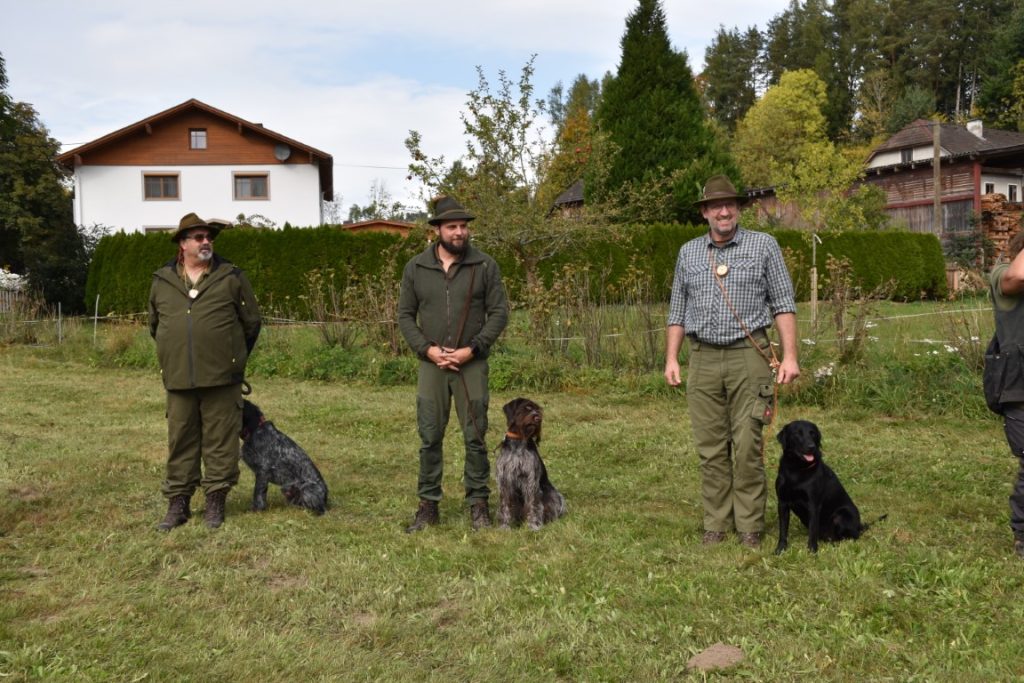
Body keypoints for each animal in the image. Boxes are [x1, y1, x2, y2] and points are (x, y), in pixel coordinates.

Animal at [495, 397, 569, 532]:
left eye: (538, 410)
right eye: (527, 408)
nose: (538, 418)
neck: (518, 441)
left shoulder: (530, 480)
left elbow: (533, 504)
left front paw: (533, 525)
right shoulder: (505, 481)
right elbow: (505, 505)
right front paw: (505, 526)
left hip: (555, 496)